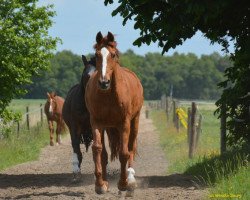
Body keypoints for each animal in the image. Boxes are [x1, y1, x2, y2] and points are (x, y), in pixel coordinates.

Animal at [85, 31, 144, 194]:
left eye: (113, 55)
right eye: (97, 55)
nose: (104, 82)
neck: (109, 95)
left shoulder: (124, 123)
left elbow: (124, 152)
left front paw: (123, 183)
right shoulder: (96, 122)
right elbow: (97, 150)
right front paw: (100, 185)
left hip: (134, 122)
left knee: (130, 147)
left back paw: (131, 179)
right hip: (107, 126)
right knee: (104, 154)